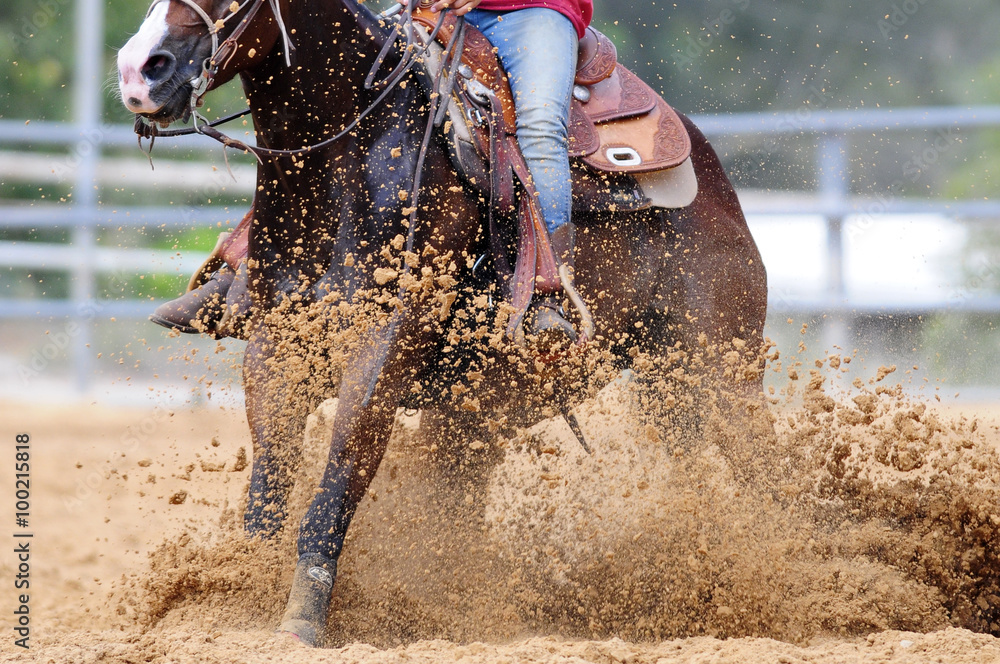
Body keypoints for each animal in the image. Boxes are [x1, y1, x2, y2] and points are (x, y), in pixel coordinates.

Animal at [117, 0, 769, 646]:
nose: (138, 71)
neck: (353, 159)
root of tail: (711, 173)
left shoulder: (383, 350)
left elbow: (338, 478)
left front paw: (301, 619)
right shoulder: (278, 347)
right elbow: (269, 488)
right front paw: (233, 603)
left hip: (718, 373)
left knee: (772, 474)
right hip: (532, 408)